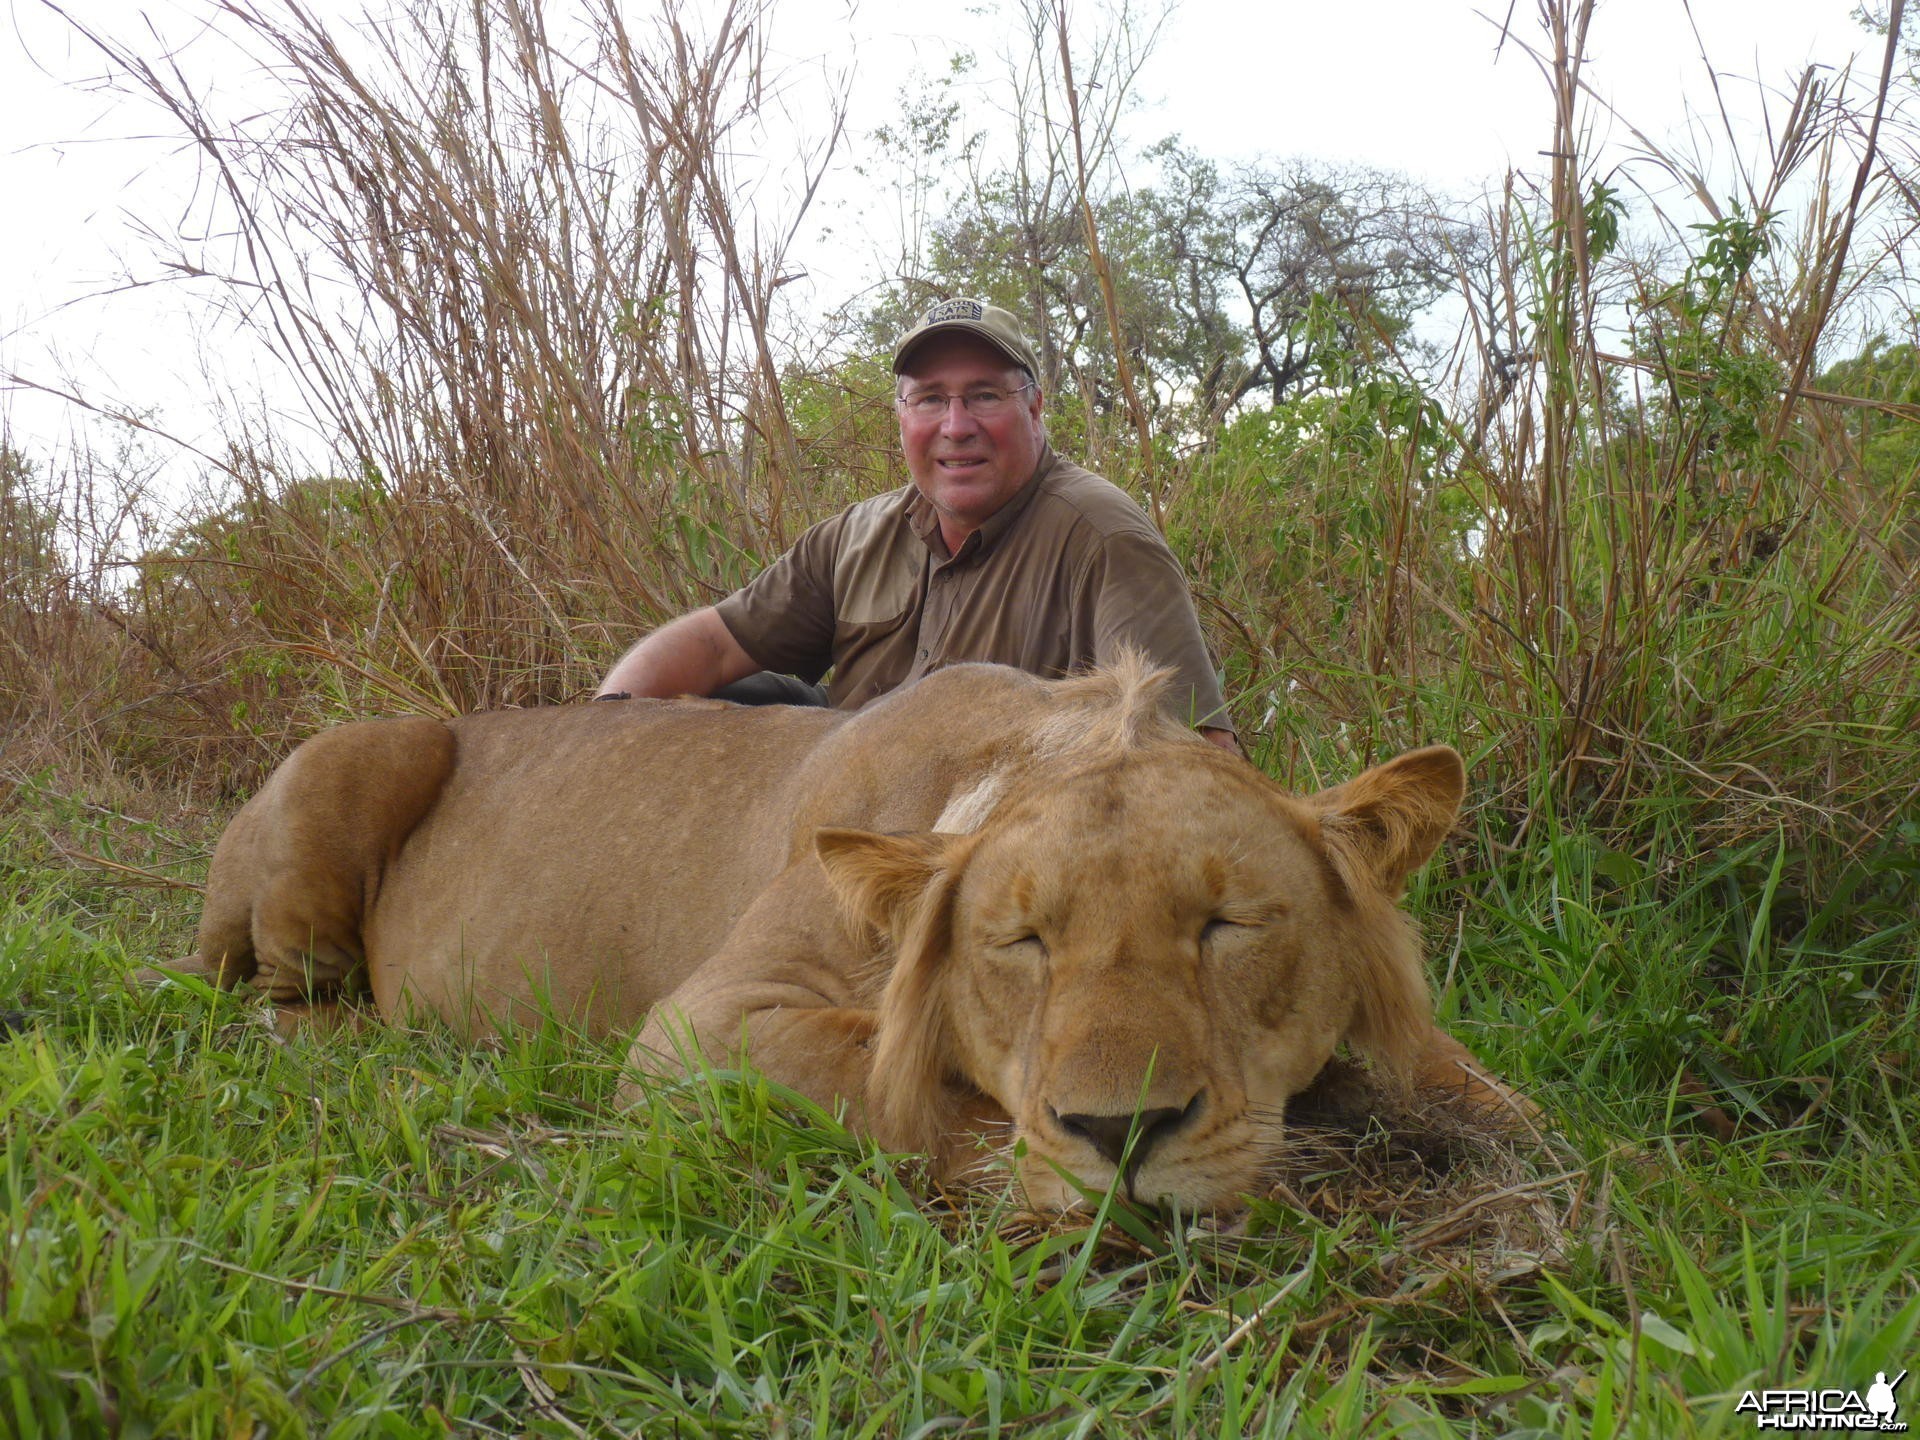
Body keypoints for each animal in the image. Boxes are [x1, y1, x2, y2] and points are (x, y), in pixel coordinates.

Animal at [187, 660, 1520, 1213]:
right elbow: (899, 1089)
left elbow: (1476, 1088)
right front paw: (1056, 1173)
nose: (1124, 1132)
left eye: (1227, 926)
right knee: (271, 1004)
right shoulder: (702, 1026)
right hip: (367, 752)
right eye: (1020, 942)